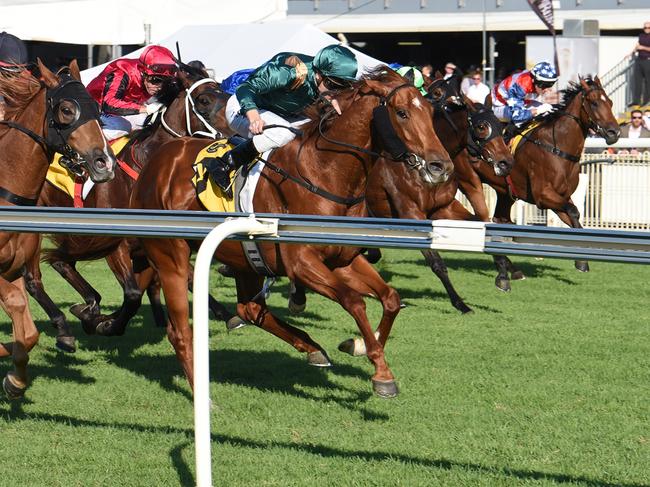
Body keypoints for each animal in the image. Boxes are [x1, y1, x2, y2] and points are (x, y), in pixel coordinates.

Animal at [0, 60, 114, 400]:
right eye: (66, 109)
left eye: (97, 109)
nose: (104, 162)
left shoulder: (16, 268)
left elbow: (28, 334)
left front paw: (15, 379)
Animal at [24, 66, 233, 354]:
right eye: (204, 100)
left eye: (224, 92)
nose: (236, 136)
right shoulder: (117, 245)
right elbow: (133, 295)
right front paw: (103, 323)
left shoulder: (151, 247)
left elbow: (185, 278)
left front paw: (228, 314)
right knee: (35, 275)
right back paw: (66, 327)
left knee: (62, 263)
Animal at [130, 67, 454, 396]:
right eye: (402, 113)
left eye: (430, 112)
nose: (441, 166)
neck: (325, 171)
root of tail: (155, 162)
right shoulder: (301, 263)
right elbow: (353, 301)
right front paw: (381, 372)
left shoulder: (343, 259)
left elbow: (390, 297)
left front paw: (363, 346)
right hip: (171, 256)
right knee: (180, 330)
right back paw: (202, 392)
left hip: (244, 257)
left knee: (249, 308)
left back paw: (312, 348)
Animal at [466, 76, 616, 290]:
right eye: (594, 103)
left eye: (610, 102)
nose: (614, 132)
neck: (557, 147)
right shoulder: (542, 196)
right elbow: (573, 211)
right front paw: (581, 261)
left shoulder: (561, 196)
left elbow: (573, 216)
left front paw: (582, 259)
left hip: (505, 192)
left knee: (500, 219)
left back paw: (511, 270)